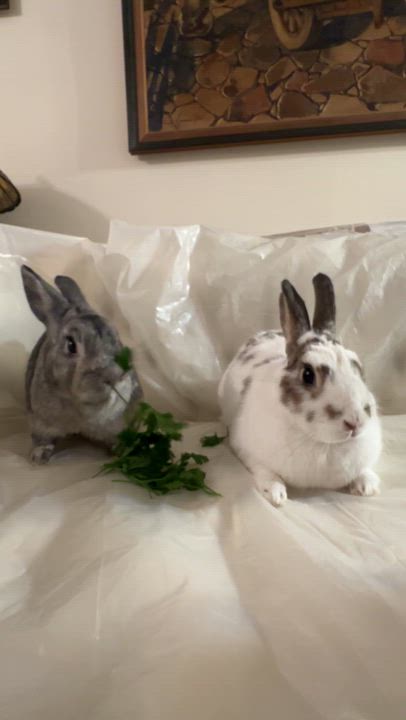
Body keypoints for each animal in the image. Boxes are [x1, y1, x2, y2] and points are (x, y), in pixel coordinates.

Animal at [21, 265, 143, 464]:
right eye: (71, 345)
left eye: (117, 338)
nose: (114, 377)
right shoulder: (40, 422)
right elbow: (42, 439)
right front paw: (38, 458)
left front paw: (121, 453)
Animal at [218, 273, 382, 507]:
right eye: (307, 374)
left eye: (357, 366)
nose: (355, 422)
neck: (324, 443)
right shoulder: (247, 450)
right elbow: (266, 472)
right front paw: (276, 494)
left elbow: (364, 470)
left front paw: (367, 486)